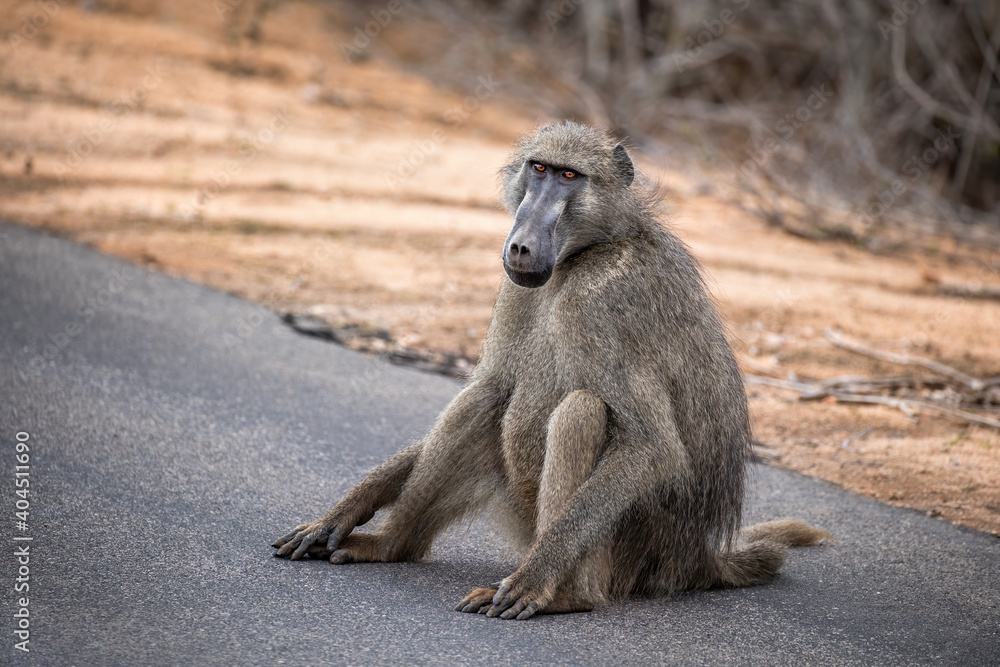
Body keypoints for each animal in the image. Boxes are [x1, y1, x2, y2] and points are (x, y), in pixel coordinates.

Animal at [272, 121, 830, 620]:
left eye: (569, 176)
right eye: (538, 168)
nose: (520, 245)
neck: (585, 253)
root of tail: (696, 559)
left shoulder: (603, 300)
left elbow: (652, 445)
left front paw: (535, 581)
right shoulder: (516, 287)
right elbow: (492, 385)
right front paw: (346, 510)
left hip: (633, 553)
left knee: (582, 410)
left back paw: (564, 594)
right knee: (484, 399)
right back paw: (390, 544)